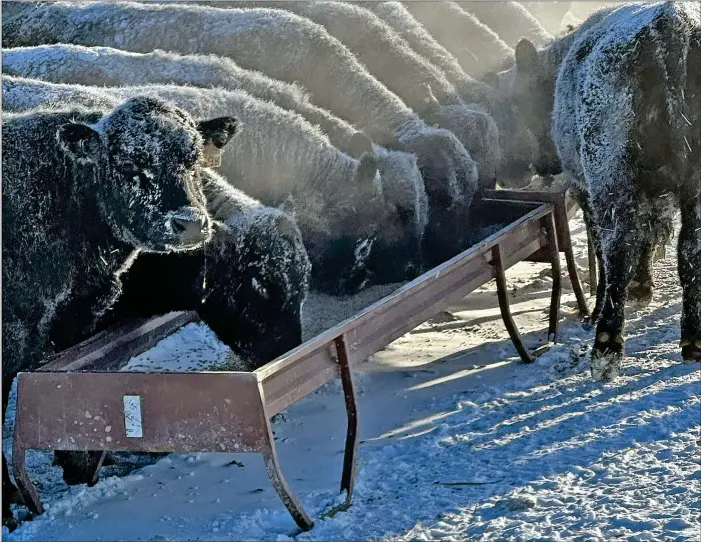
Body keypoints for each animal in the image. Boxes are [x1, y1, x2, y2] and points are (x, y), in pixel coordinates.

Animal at [2, 98, 238, 532]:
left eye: (194, 160)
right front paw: (8, 502)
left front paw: (83, 460)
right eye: (129, 165)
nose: (189, 223)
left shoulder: (77, 324)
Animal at [500, 2, 696, 380]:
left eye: (518, 101)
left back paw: (606, 345)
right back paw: (694, 340)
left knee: (617, 247)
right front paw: (643, 285)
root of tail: (669, 23)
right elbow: (653, 231)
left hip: (611, 175)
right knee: (690, 248)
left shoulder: (585, 189)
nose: (535, 165)